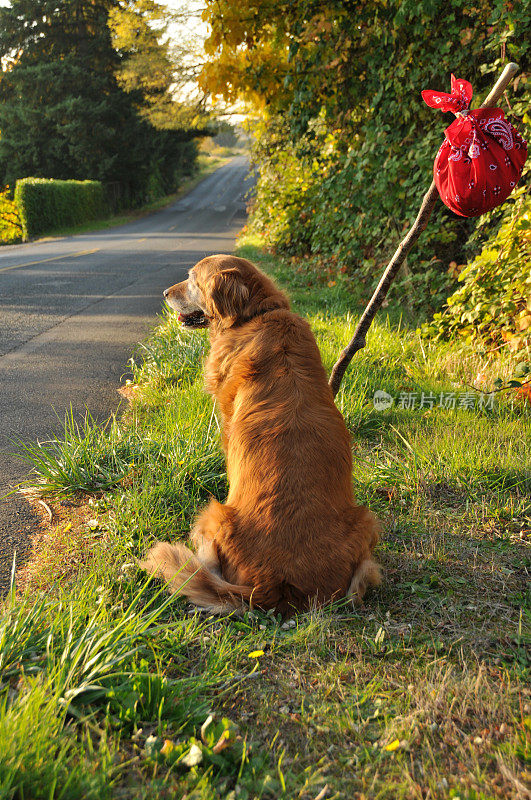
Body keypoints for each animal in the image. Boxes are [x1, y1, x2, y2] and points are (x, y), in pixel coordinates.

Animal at [143, 253, 380, 616]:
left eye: (193, 280)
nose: (166, 293)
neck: (257, 313)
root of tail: (273, 586)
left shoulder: (227, 425)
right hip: (366, 521)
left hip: (215, 513)